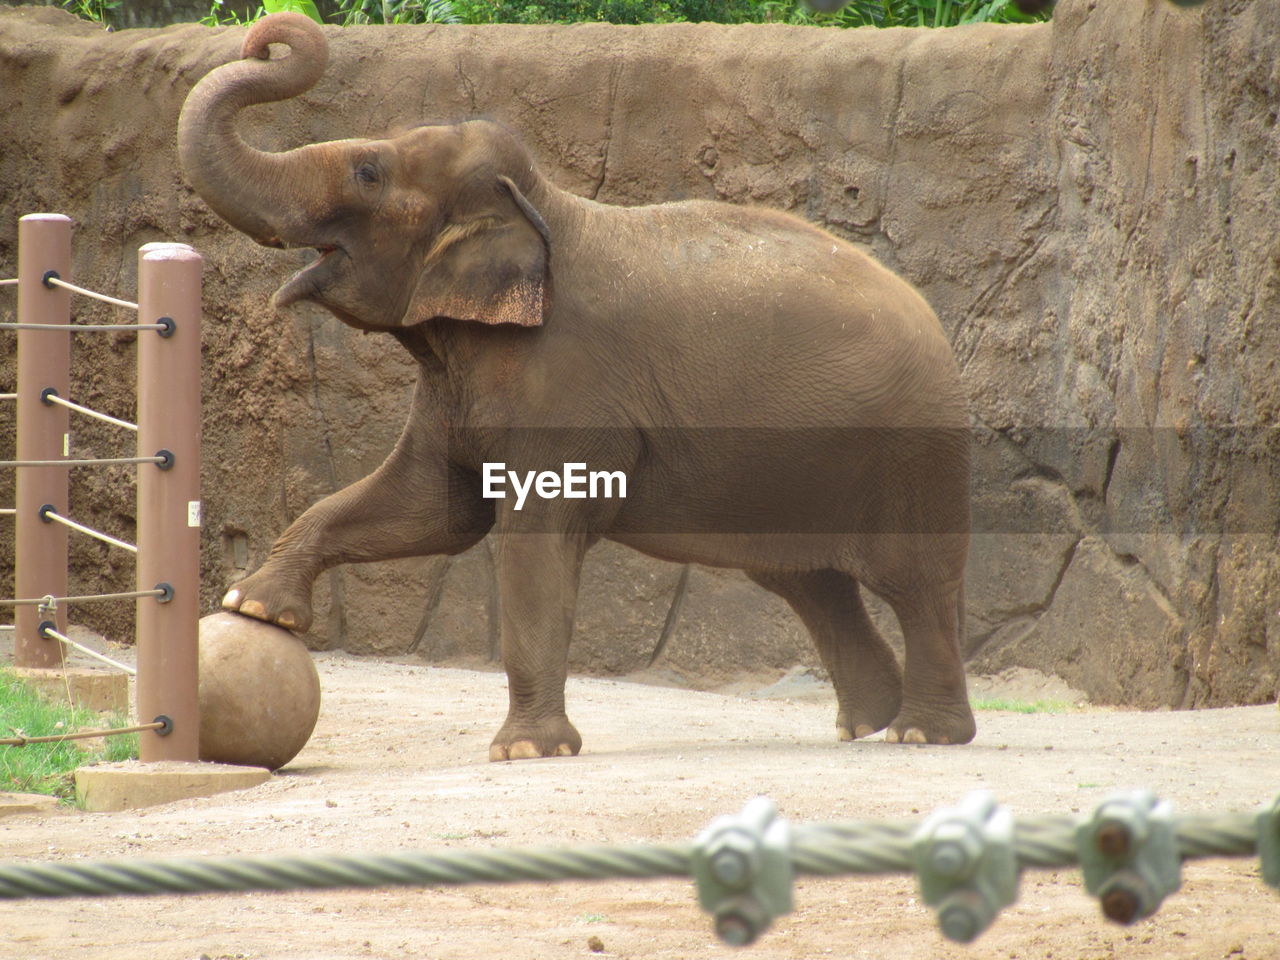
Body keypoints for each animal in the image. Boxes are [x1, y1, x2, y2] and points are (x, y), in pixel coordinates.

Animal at [180, 7, 972, 757]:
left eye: (369, 175)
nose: (265, 39)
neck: (544, 205)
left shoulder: (567, 384)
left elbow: (531, 540)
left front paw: (525, 751)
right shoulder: (458, 383)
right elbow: (427, 508)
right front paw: (252, 606)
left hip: (911, 449)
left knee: (913, 582)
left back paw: (921, 734)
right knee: (810, 582)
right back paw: (867, 724)